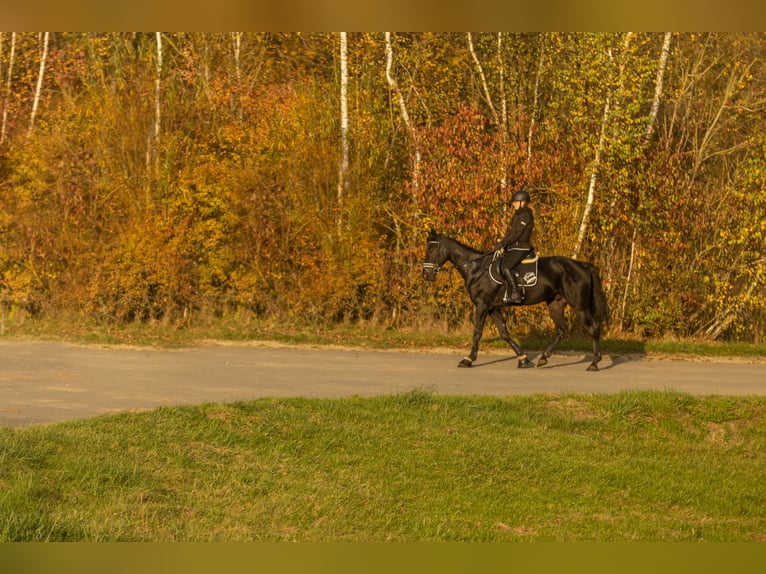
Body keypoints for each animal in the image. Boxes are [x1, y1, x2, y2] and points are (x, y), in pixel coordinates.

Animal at [420, 230, 612, 374]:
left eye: (431, 248)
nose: (426, 275)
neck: (477, 269)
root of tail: (582, 265)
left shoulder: (482, 305)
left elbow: (477, 333)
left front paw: (468, 359)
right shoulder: (493, 308)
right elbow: (504, 333)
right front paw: (523, 358)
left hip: (579, 306)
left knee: (593, 328)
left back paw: (594, 363)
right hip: (555, 304)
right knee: (562, 330)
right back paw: (543, 358)